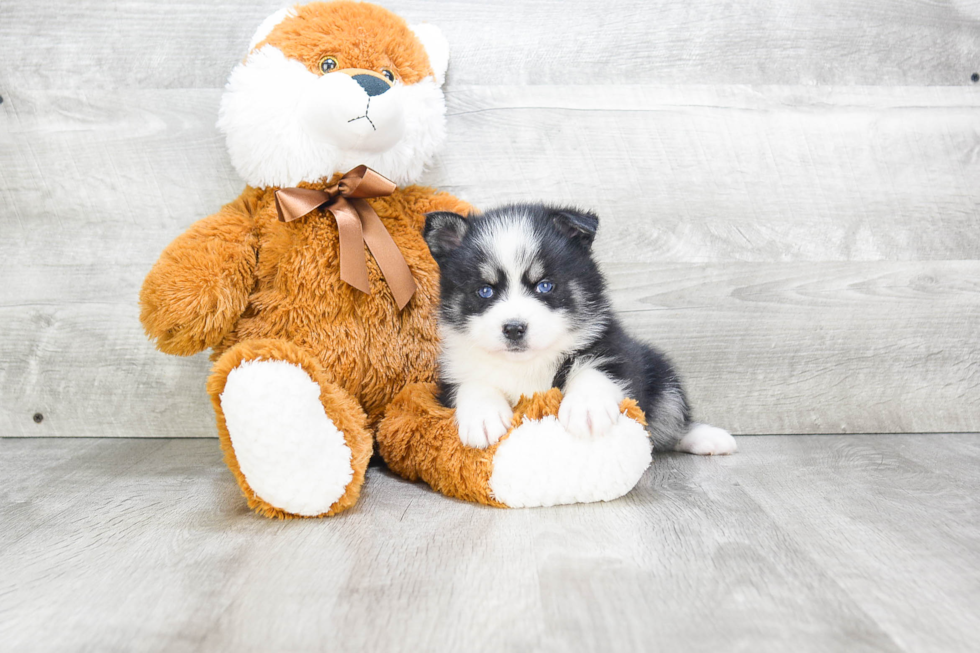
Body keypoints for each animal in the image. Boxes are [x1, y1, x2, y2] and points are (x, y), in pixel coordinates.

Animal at [422, 201, 736, 456]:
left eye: (545, 285)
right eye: (485, 291)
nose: (513, 328)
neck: (527, 365)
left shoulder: (612, 347)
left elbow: (594, 370)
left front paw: (587, 409)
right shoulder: (451, 375)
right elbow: (473, 383)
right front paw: (483, 417)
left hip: (661, 373)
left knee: (670, 423)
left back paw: (707, 438)